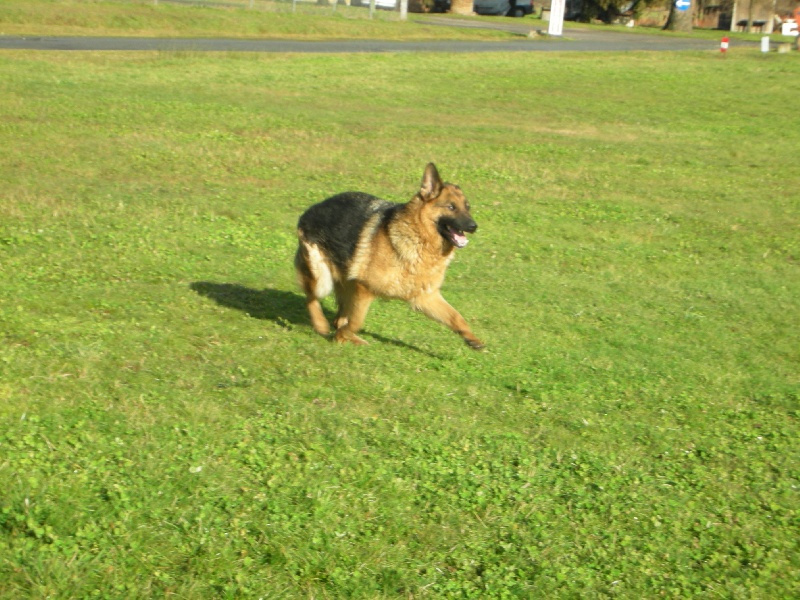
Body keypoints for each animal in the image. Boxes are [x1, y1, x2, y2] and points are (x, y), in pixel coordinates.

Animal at [294, 164, 482, 352]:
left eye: (467, 207)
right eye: (451, 207)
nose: (474, 226)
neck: (418, 237)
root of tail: (311, 209)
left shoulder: (425, 297)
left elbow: (456, 317)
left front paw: (472, 339)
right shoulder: (364, 289)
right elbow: (356, 322)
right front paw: (340, 336)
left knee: (338, 318)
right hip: (322, 279)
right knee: (311, 298)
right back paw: (321, 325)